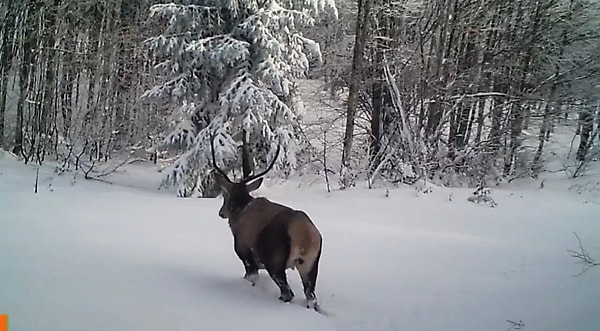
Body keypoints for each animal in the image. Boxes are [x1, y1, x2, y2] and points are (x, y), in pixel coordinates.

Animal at [211, 134, 324, 312]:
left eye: (224, 195)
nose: (221, 213)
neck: (239, 211)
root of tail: (306, 236)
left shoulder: (245, 253)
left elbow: (251, 278)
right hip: (311, 265)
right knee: (311, 298)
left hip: (274, 262)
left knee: (288, 293)